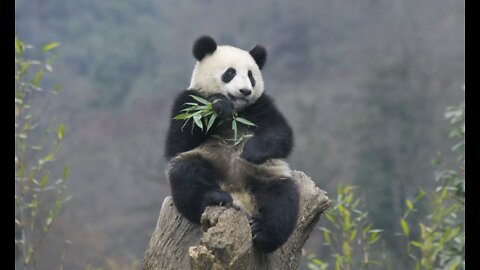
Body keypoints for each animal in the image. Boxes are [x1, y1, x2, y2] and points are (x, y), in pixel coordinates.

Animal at [165, 35, 300, 253]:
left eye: (251, 75)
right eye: (230, 72)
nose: (245, 91)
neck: (236, 113)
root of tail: (239, 196)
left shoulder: (260, 105)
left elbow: (280, 134)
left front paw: (251, 151)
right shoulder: (190, 101)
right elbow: (178, 141)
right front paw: (219, 104)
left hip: (266, 176)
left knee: (282, 201)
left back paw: (262, 233)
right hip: (205, 161)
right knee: (186, 177)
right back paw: (215, 197)